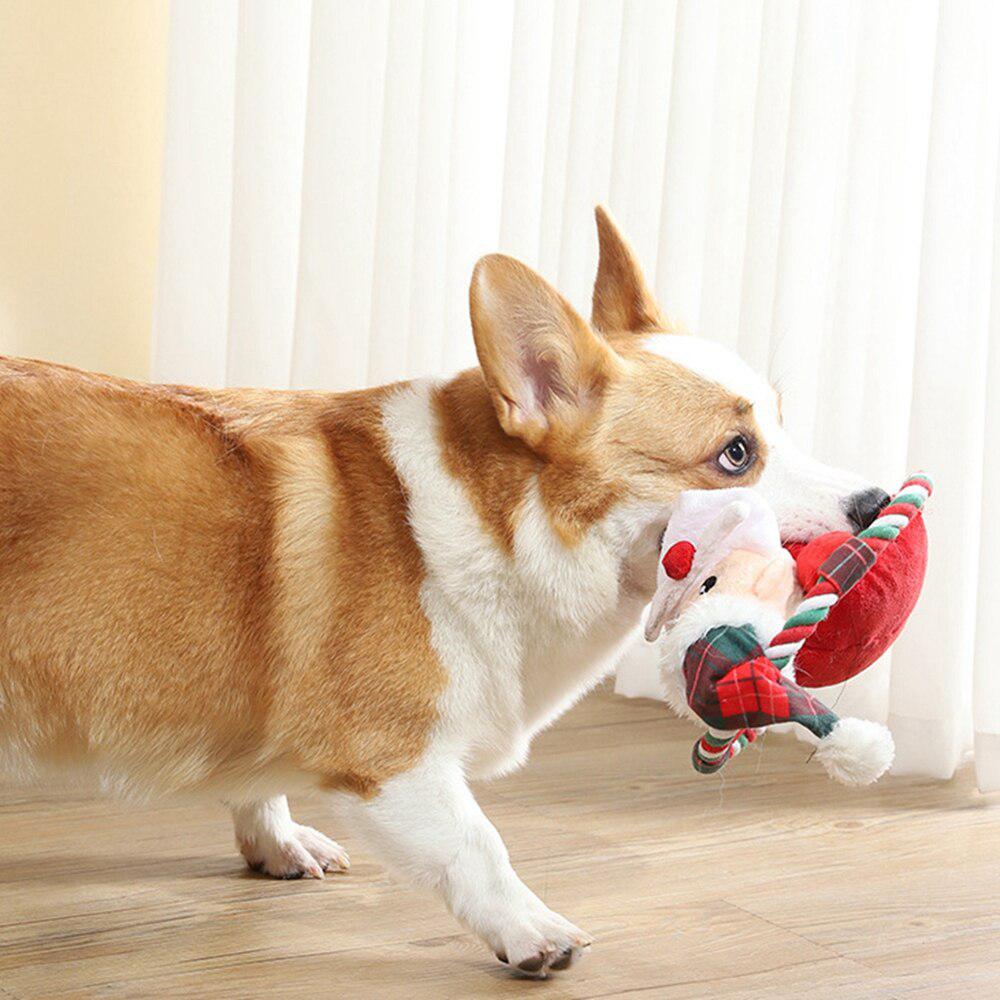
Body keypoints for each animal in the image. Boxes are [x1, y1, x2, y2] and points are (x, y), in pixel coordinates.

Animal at [0, 209, 884, 976]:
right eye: (736, 454)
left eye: (781, 423)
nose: (876, 502)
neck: (509, 519)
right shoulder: (397, 758)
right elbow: (476, 844)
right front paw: (529, 930)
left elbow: (262, 782)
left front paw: (277, 841)